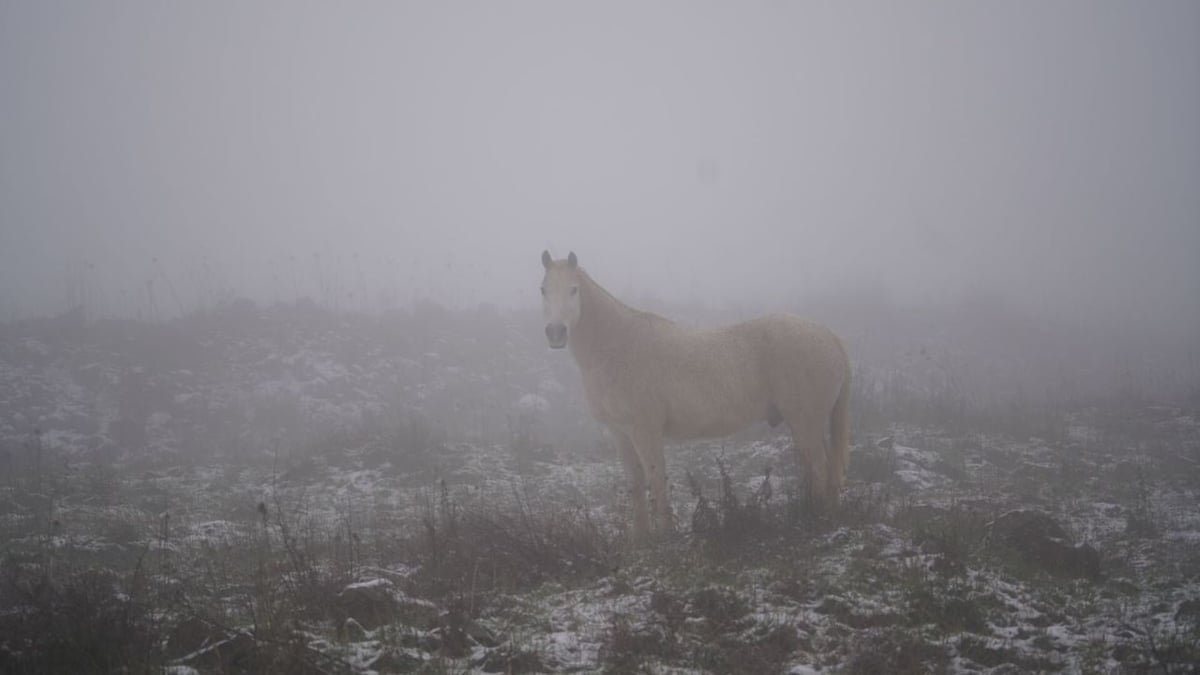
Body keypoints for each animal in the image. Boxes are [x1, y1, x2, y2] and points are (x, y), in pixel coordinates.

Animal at [540, 249, 849, 538]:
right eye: (543, 289)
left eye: (573, 289)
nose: (555, 332)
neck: (618, 348)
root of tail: (830, 336)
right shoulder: (620, 433)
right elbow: (636, 484)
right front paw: (641, 539)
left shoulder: (645, 430)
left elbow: (657, 481)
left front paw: (666, 537)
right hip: (807, 425)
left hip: (805, 423)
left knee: (820, 468)